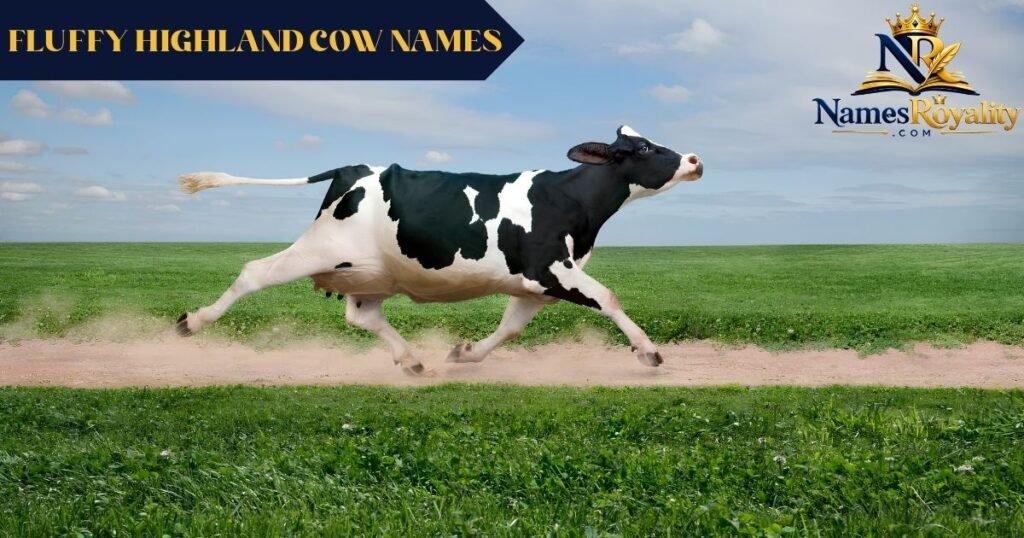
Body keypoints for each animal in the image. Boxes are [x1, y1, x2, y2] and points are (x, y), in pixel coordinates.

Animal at [175, 126, 703, 375]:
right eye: (642, 149)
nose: (695, 159)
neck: (569, 199)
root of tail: (351, 168)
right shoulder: (553, 269)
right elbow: (610, 298)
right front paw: (648, 353)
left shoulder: (533, 283)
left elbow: (510, 328)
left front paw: (464, 354)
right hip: (320, 249)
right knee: (254, 271)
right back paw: (191, 322)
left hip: (371, 271)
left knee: (363, 315)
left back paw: (411, 361)